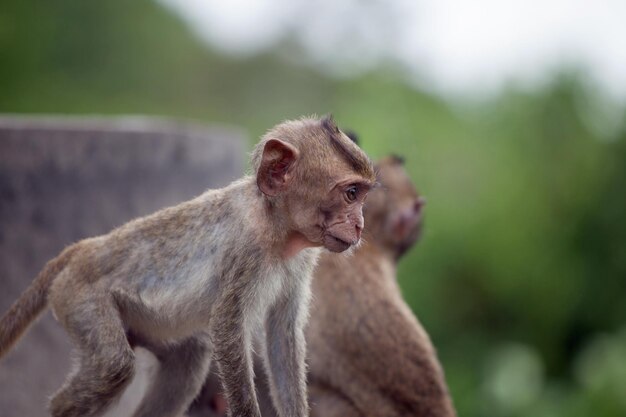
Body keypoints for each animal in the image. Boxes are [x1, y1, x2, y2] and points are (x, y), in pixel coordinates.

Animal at [0, 115, 372, 416]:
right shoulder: (246, 250)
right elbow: (227, 328)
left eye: (361, 195)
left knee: (189, 356)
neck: (275, 224)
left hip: (143, 321)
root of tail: (85, 248)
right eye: (351, 194)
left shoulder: (301, 260)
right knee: (113, 365)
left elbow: (282, 336)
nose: (359, 225)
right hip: (80, 298)